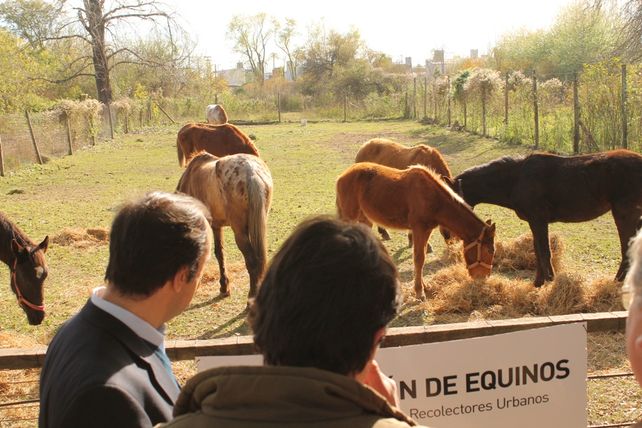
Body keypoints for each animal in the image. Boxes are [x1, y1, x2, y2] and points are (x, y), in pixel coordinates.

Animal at [177, 152, 272, 300]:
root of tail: (251, 172)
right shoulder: (216, 226)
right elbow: (220, 253)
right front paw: (224, 286)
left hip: (240, 232)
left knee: (253, 262)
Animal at [336, 162, 496, 300]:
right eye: (490, 251)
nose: (483, 277)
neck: (434, 198)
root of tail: (342, 176)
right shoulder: (419, 229)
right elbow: (419, 259)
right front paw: (419, 291)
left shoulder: (426, 231)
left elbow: (422, 257)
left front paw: (425, 287)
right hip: (350, 216)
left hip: (365, 219)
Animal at [449, 149, 642, 287]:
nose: (448, 234)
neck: (516, 179)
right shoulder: (534, 222)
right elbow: (537, 251)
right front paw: (538, 283)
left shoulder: (539, 220)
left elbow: (544, 251)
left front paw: (550, 281)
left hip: (624, 214)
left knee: (626, 247)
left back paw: (617, 281)